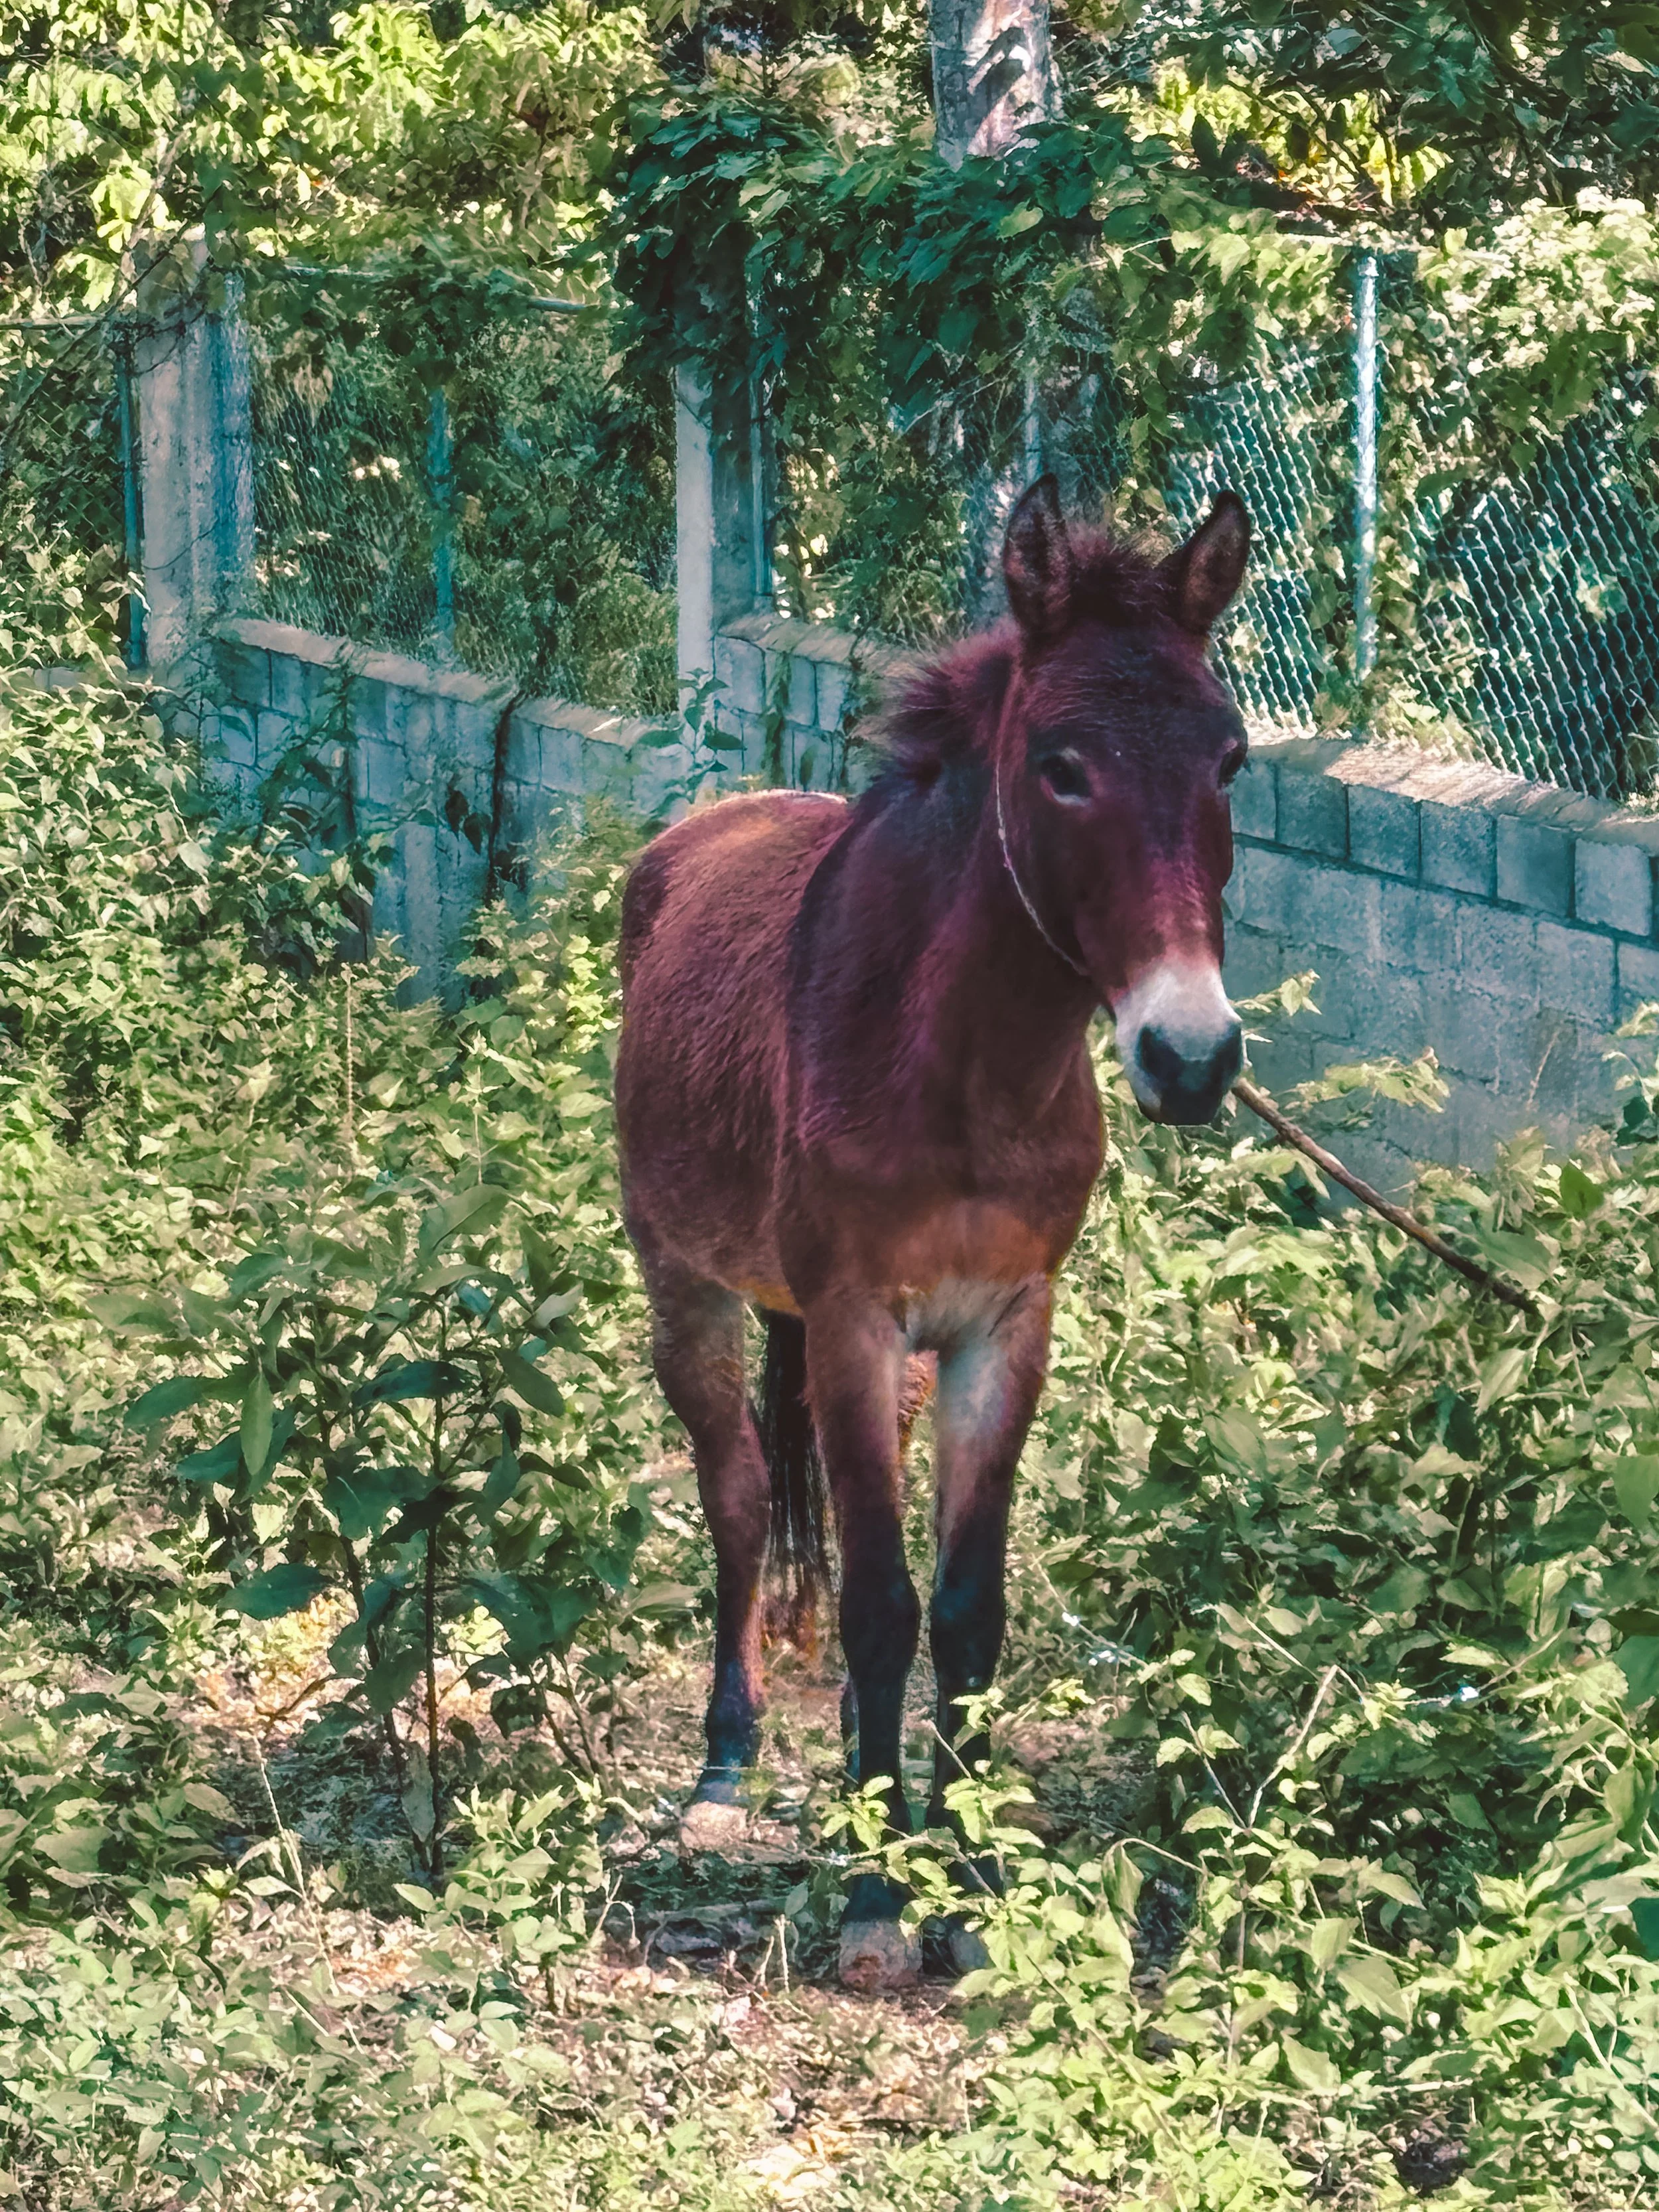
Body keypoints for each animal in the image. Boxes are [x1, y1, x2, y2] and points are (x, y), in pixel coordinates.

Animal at [614, 476, 1250, 1987]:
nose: (1192, 1057)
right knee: (738, 1495)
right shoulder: (852, 1316)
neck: (963, 1064)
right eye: (1063, 767)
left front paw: (964, 1882)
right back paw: (728, 1767)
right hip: (686, 1282)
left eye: (1231, 762)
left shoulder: (1002, 1324)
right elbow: (874, 1602)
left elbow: (960, 1605)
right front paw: (869, 1897)